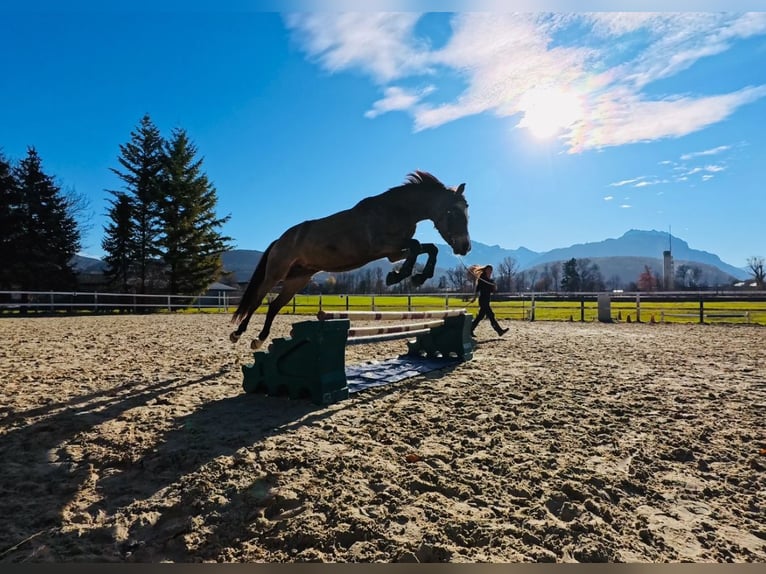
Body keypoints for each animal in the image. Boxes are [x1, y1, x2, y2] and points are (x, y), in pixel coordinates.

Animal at [228, 171, 472, 352]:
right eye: (452, 212)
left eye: (467, 211)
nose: (465, 247)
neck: (397, 210)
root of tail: (280, 239)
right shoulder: (384, 246)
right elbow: (416, 245)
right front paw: (398, 277)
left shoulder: (393, 252)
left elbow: (428, 248)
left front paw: (417, 277)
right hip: (276, 273)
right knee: (258, 301)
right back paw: (238, 334)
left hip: (297, 279)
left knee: (274, 306)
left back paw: (259, 339)